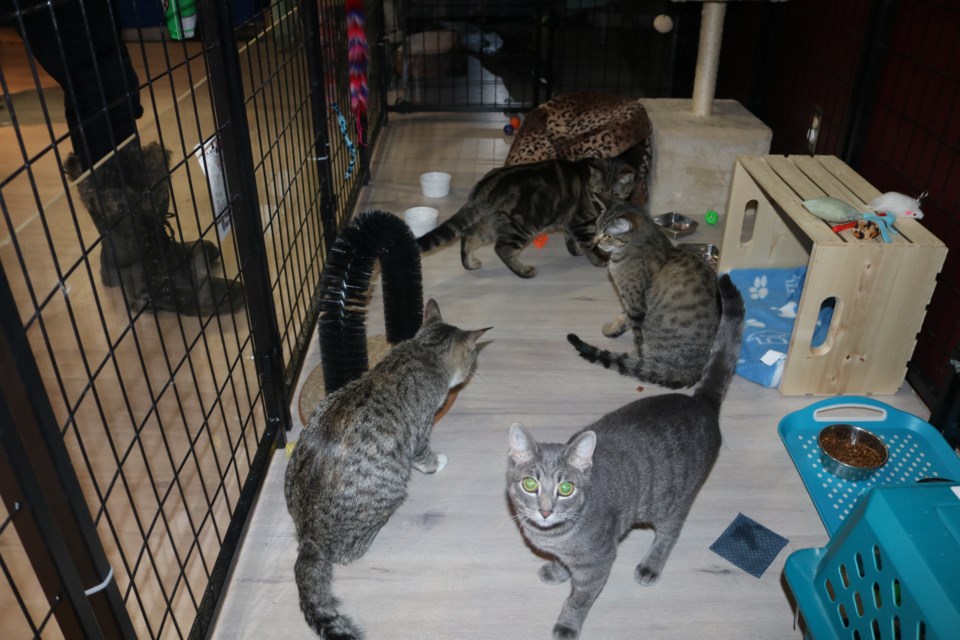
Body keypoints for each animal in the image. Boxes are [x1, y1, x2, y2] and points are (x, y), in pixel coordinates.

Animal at [284, 302, 488, 640]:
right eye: (473, 356)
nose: (474, 368)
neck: (422, 351)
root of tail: (309, 537)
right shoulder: (419, 431)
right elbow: (424, 455)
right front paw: (437, 463)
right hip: (387, 493)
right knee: (349, 552)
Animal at [414, 158, 632, 278]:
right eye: (598, 193)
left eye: (616, 194)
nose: (604, 205)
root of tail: (484, 186)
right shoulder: (581, 222)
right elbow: (589, 245)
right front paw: (598, 259)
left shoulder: (570, 221)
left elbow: (571, 240)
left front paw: (576, 251)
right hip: (521, 227)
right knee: (502, 249)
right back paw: (523, 271)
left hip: (491, 226)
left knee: (468, 236)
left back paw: (470, 263)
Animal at [510, 276, 744, 640]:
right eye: (530, 484)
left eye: (566, 489)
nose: (545, 511)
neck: (556, 536)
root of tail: (700, 401)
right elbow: (564, 566)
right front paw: (558, 571)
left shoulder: (599, 563)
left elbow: (578, 600)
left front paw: (567, 624)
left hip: (672, 502)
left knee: (670, 534)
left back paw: (651, 565)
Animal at [568, 195, 720, 388]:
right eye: (596, 228)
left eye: (607, 236)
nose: (595, 242)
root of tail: (696, 370)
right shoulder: (629, 301)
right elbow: (624, 318)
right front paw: (613, 329)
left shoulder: (635, 303)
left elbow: (636, 334)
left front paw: (635, 354)